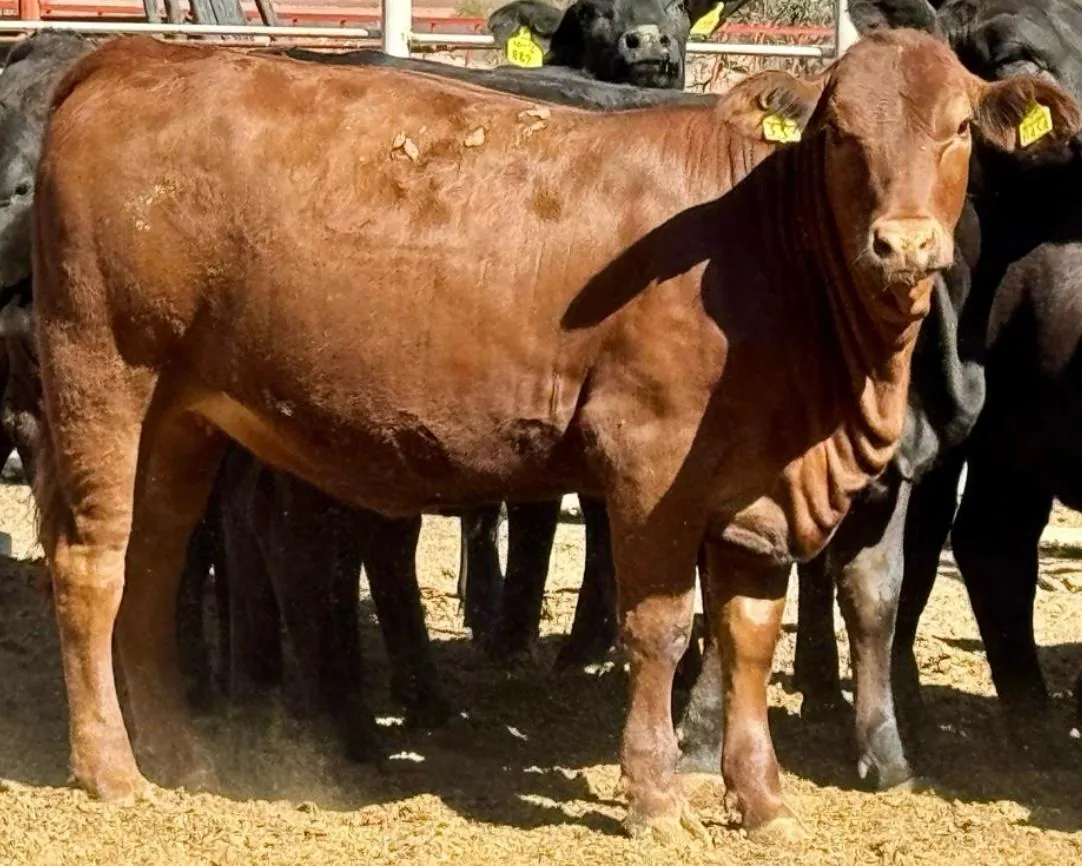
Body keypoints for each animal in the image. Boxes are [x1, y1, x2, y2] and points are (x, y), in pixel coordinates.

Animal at [30, 31, 1076, 844]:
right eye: (839, 134)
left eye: (957, 130)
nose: (904, 245)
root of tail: (137, 56)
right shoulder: (651, 462)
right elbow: (661, 629)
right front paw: (657, 800)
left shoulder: (759, 489)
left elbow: (747, 635)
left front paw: (765, 801)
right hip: (101, 369)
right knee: (92, 563)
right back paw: (110, 769)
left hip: (183, 414)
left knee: (153, 561)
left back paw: (177, 754)